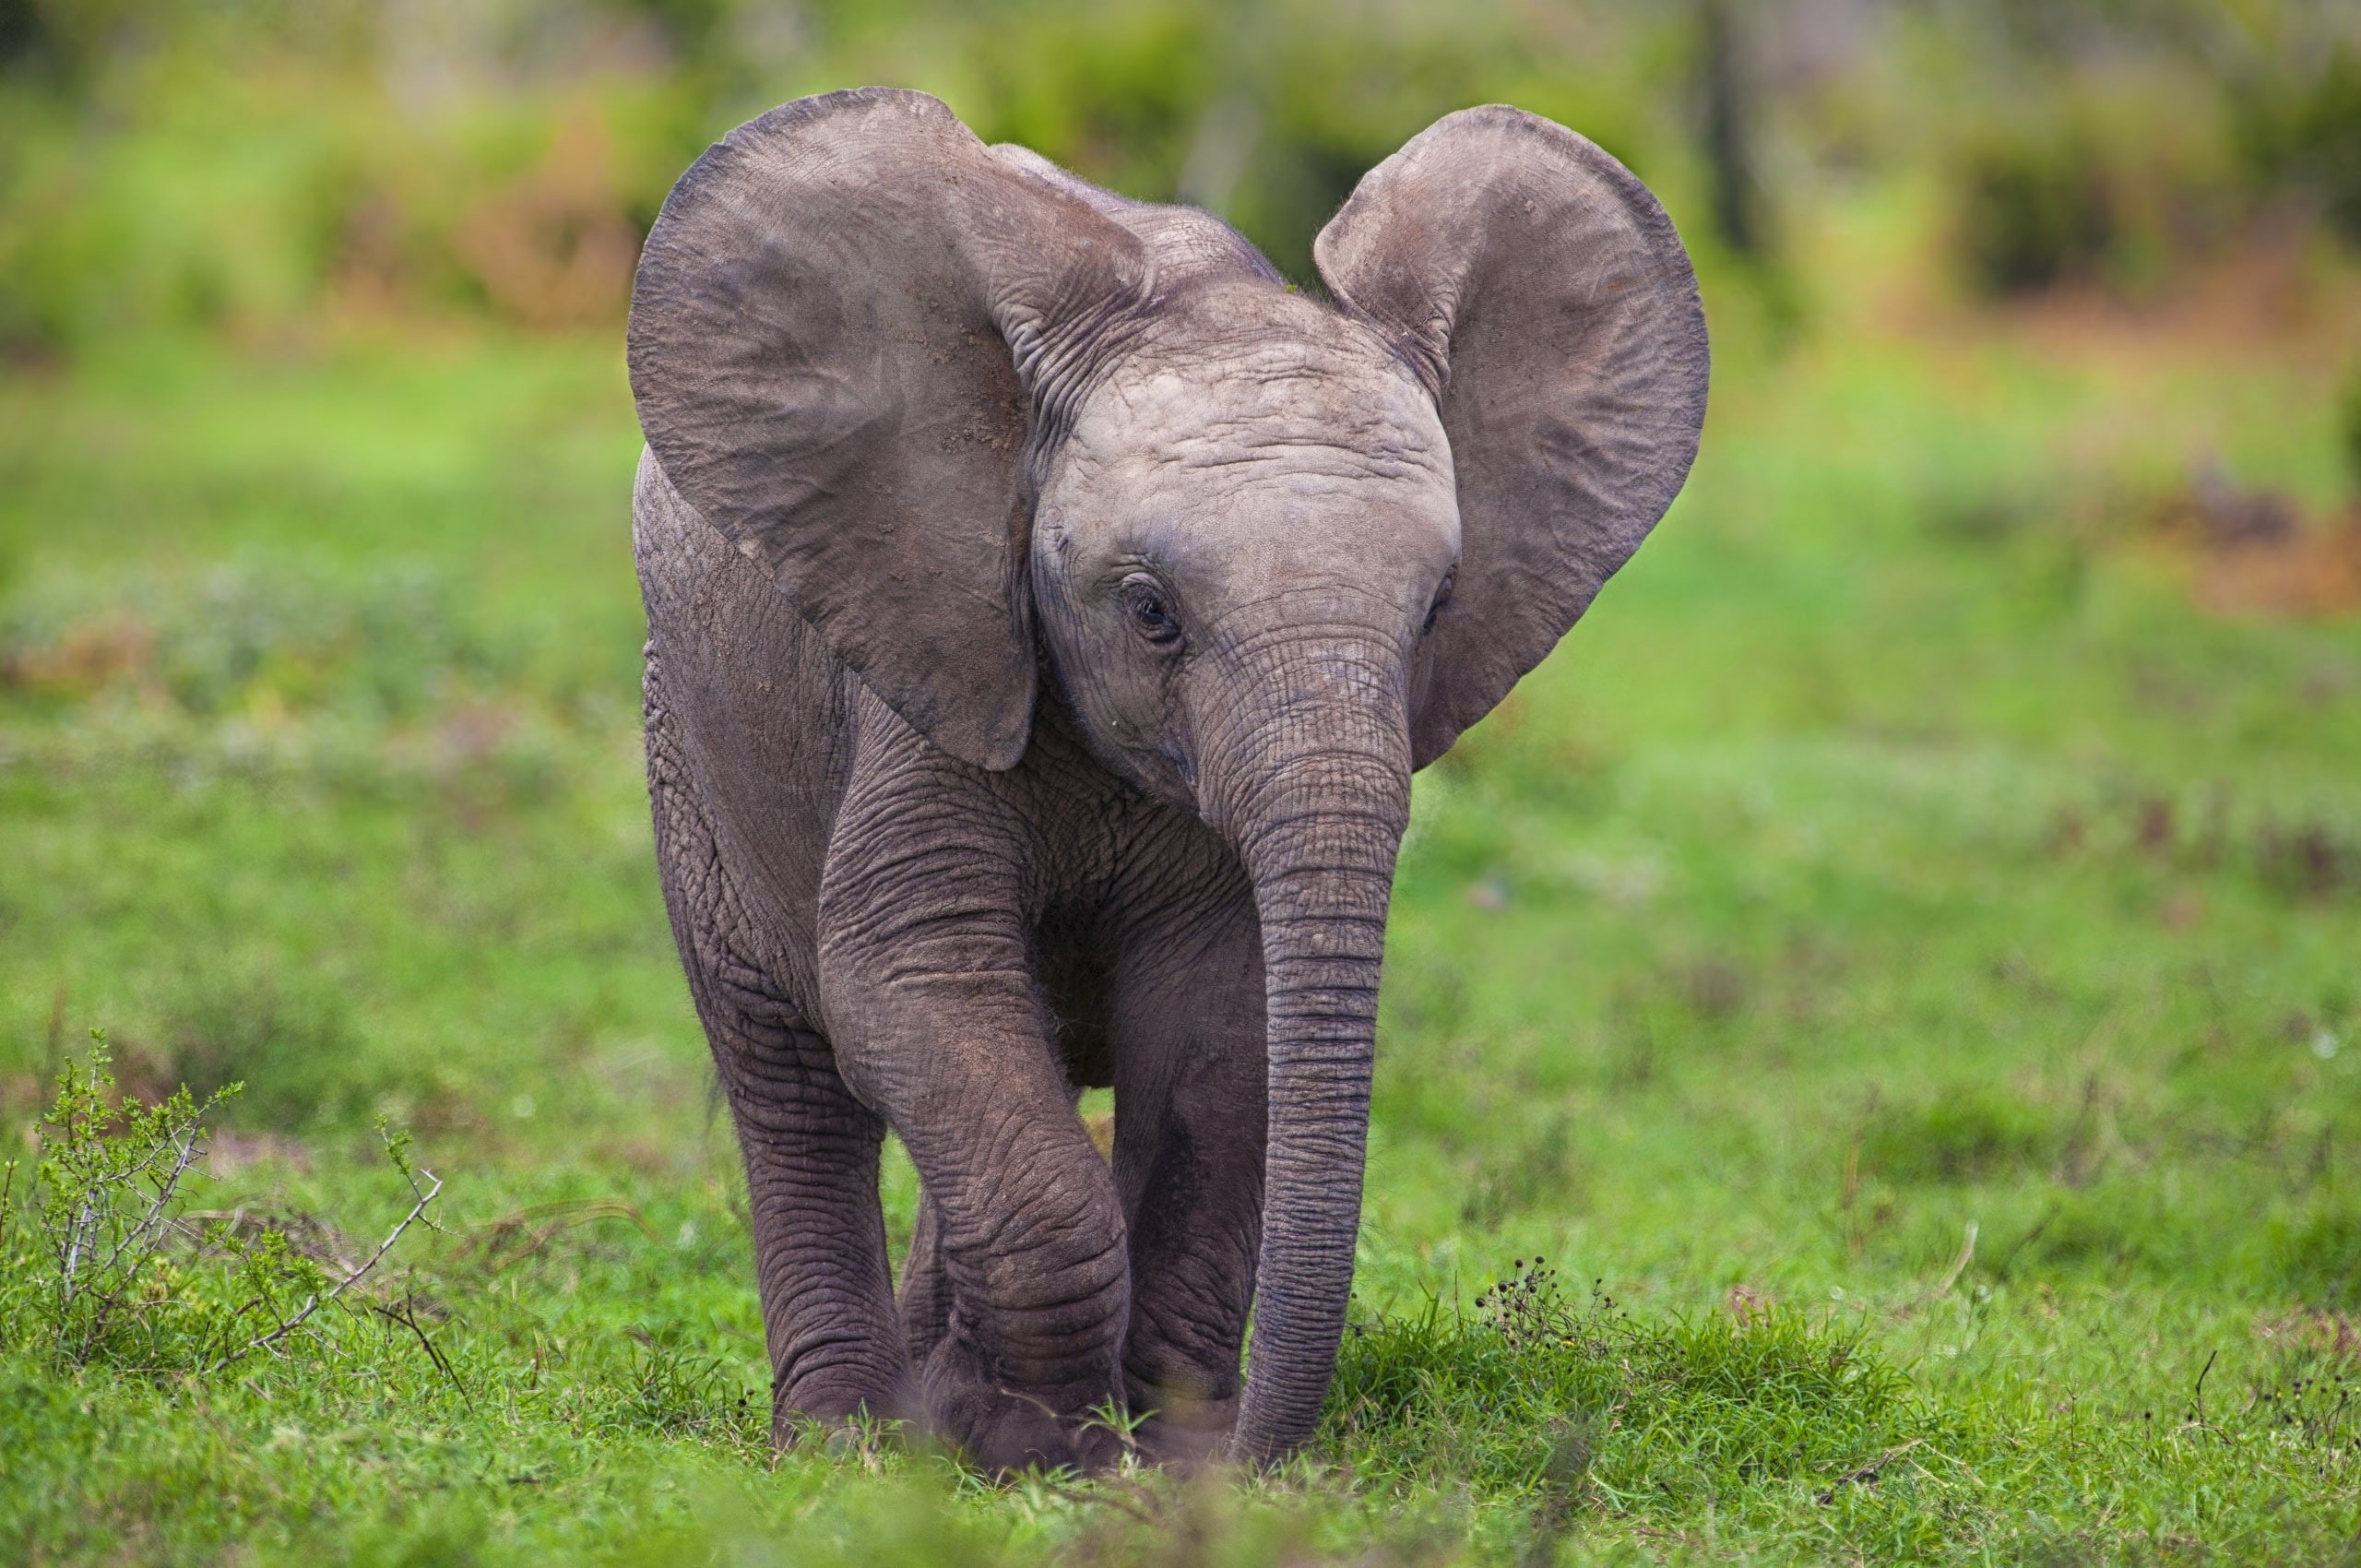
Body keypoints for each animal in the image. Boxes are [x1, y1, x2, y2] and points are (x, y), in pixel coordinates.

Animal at [625, 87, 1706, 1472]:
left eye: (1434, 612)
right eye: (1150, 612)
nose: (1249, 1447)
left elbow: (1217, 1028)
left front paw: (1147, 1447)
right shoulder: (931, 665)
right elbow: (911, 976)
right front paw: (1033, 1440)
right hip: (689, 730)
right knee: (790, 1073)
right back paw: (846, 1436)